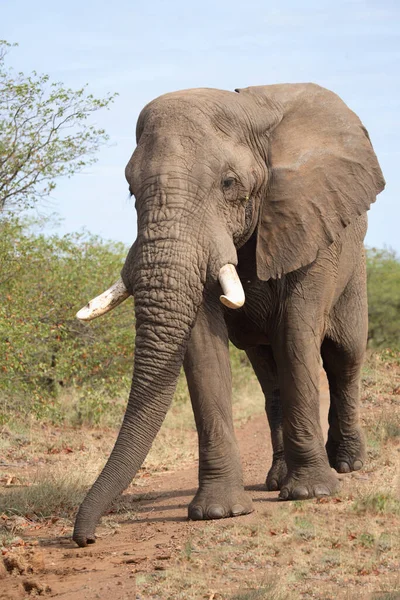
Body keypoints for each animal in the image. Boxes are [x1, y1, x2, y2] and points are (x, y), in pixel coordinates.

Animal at [72, 84, 384, 548]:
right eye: (129, 189)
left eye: (228, 183)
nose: (85, 538)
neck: (253, 111)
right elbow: (203, 346)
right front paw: (218, 512)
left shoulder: (310, 221)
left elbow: (296, 331)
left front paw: (312, 493)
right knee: (269, 373)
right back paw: (276, 480)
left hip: (354, 268)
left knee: (344, 358)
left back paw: (346, 466)